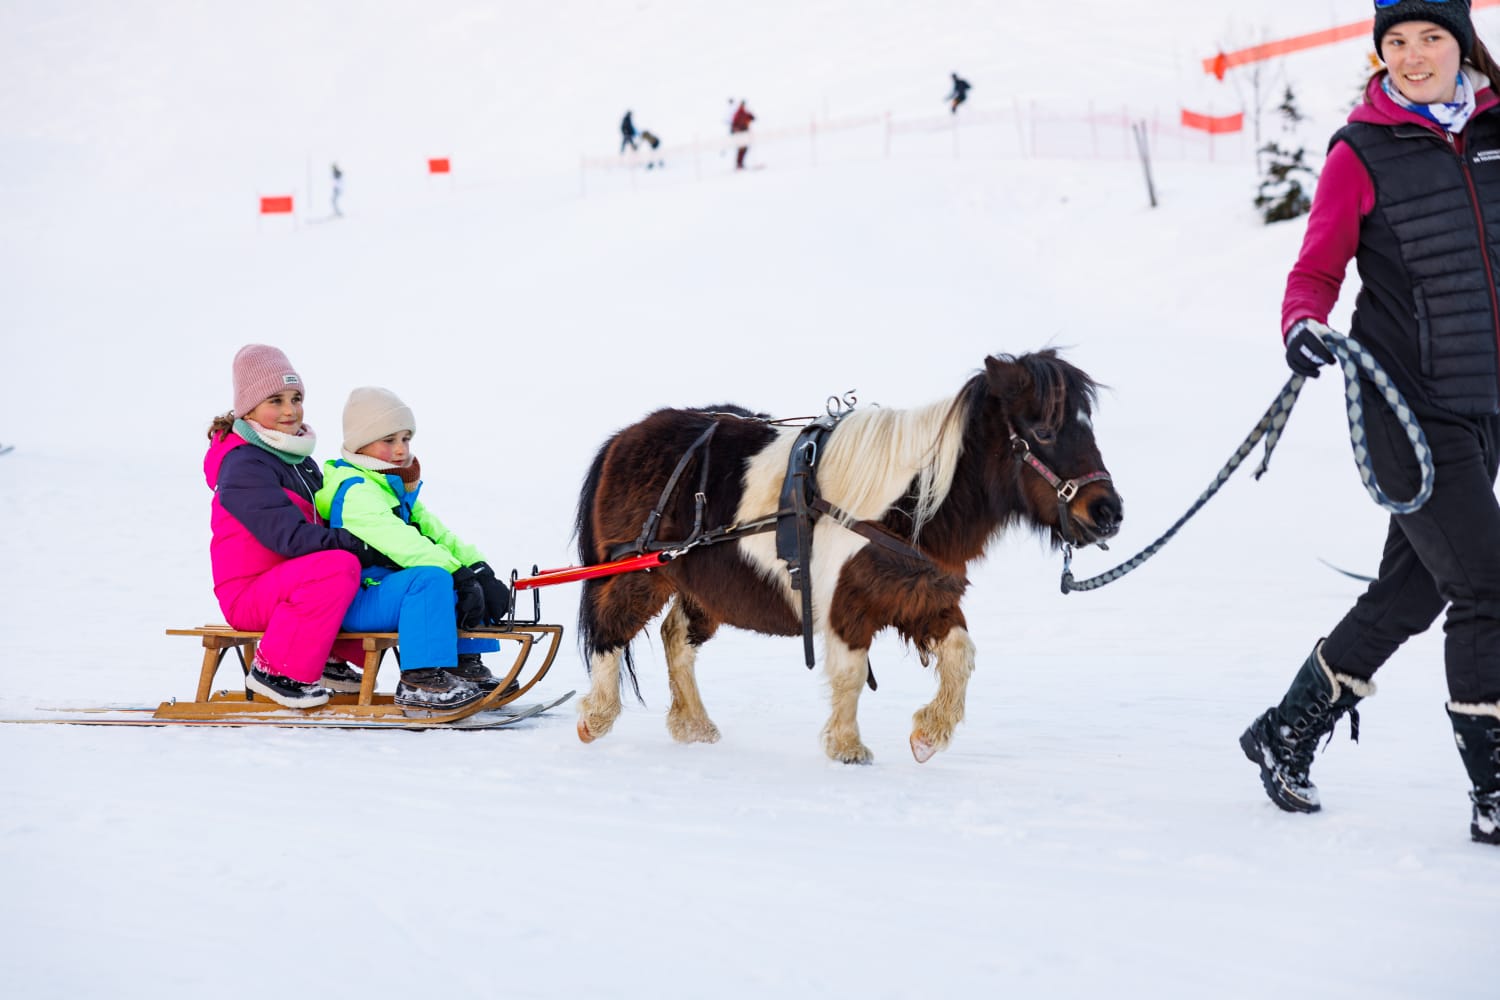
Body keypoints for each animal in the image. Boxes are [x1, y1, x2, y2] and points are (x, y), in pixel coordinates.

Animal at [567, 347, 1122, 761]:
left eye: (1089, 426)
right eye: (1044, 431)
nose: (1108, 512)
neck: (906, 503)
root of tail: (624, 439)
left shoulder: (923, 595)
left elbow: (961, 655)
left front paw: (929, 734)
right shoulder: (844, 604)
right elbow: (852, 673)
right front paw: (848, 747)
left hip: (701, 585)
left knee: (675, 636)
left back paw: (694, 725)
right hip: (636, 572)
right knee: (609, 632)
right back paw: (596, 717)